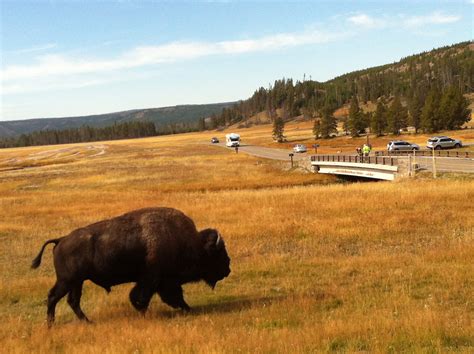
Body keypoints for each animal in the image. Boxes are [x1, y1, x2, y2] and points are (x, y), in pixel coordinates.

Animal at [30, 207, 231, 326]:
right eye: (218, 253)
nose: (228, 269)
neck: (190, 243)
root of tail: (61, 239)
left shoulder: (161, 281)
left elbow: (172, 297)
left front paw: (187, 308)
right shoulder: (154, 279)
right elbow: (144, 296)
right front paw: (143, 312)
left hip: (76, 282)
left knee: (72, 301)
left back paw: (88, 322)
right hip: (67, 281)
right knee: (53, 297)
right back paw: (51, 324)